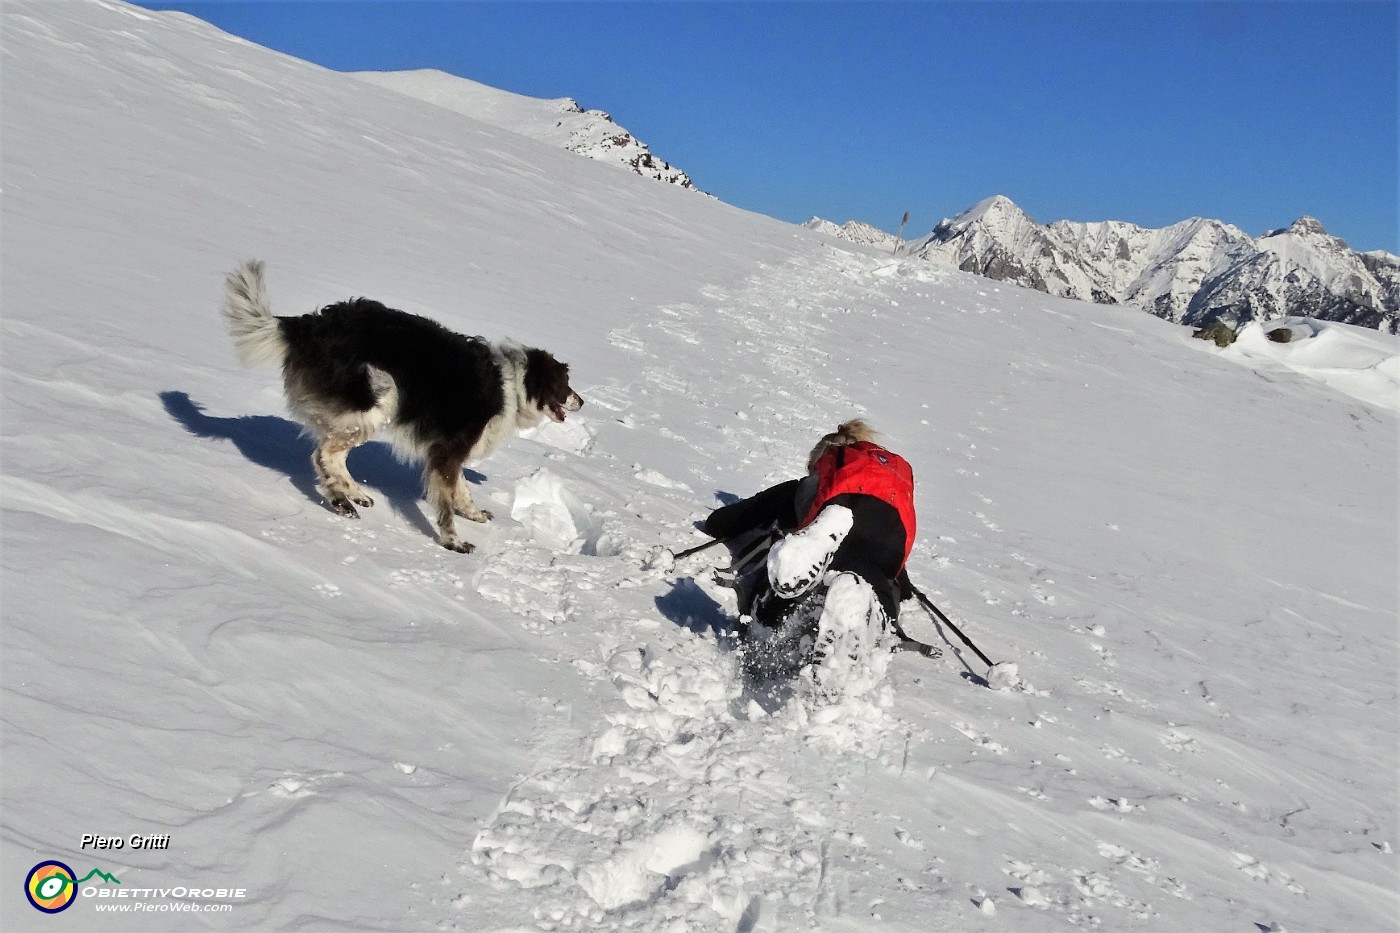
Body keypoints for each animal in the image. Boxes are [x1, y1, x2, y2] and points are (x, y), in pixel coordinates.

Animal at [221, 259, 582, 551]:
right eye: (564, 384)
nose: (581, 401)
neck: (513, 385)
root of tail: (308, 324)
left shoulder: (449, 453)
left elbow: (461, 490)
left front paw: (474, 513)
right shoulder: (447, 452)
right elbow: (446, 502)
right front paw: (453, 543)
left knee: (330, 455)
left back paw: (353, 494)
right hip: (381, 399)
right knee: (323, 454)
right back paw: (342, 501)